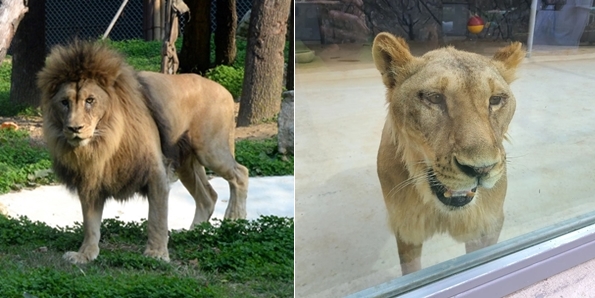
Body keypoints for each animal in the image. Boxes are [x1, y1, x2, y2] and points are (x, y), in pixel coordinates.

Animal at [36, 40, 249, 264]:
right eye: (64, 102)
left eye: (90, 100)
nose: (74, 128)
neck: (105, 143)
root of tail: (225, 90)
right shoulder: (90, 180)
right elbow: (90, 224)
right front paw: (85, 254)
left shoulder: (156, 173)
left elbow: (156, 218)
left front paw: (156, 254)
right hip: (186, 164)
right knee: (208, 197)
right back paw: (193, 233)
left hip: (210, 149)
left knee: (240, 174)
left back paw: (234, 220)